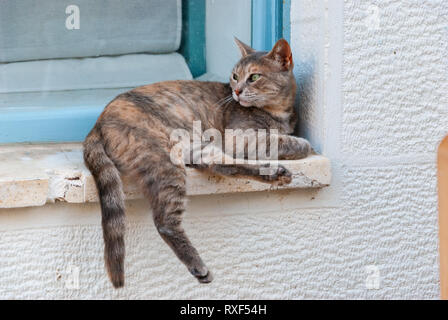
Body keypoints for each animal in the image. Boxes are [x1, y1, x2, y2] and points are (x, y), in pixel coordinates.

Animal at [83, 37, 312, 288]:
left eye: (254, 77)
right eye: (235, 76)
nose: (237, 91)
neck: (279, 113)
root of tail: (96, 125)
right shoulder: (240, 138)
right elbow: (284, 142)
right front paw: (302, 144)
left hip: (196, 147)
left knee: (221, 165)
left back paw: (275, 174)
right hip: (163, 160)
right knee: (164, 220)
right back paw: (198, 266)